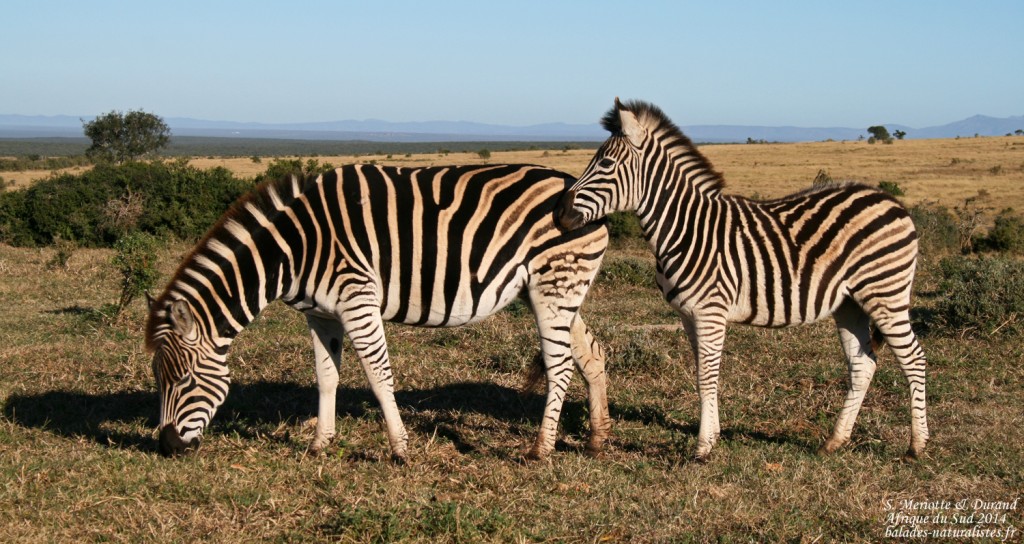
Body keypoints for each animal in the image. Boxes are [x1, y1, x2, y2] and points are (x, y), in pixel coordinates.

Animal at [145, 164, 611, 461]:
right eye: (158, 381)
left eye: (183, 380)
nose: (167, 447)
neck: (293, 250)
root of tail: (576, 188)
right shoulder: (320, 315)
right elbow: (326, 376)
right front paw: (320, 444)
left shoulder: (357, 299)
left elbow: (378, 376)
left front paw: (400, 449)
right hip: (552, 291)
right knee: (590, 353)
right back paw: (596, 440)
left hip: (554, 285)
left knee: (559, 365)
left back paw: (541, 450)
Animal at [558, 99, 928, 462]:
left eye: (605, 163)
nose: (560, 214)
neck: (686, 227)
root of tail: (893, 202)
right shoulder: (689, 315)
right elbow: (702, 374)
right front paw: (714, 436)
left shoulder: (710, 312)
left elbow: (707, 377)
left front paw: (702, 448)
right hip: (850, 303)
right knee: (863, 365)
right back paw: (835, 441)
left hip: (885, 294)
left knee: (914, 359)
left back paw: (917, 446)